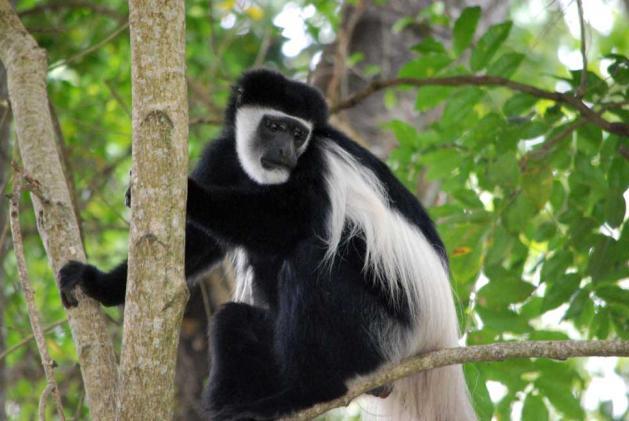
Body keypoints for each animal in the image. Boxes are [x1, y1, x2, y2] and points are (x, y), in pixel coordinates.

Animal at [59, 69, 474, 420]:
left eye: (298, 134)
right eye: (274, 126)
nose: (284, 152)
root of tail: (430, 339)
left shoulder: (317, 167)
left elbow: (284, 225)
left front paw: (195, 197)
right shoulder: (223, 156)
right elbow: (196, 244)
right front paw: (97, 284)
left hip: (379, 334)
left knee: (310, 262)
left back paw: (307, 392)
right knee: (233, 320)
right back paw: (234, 406)